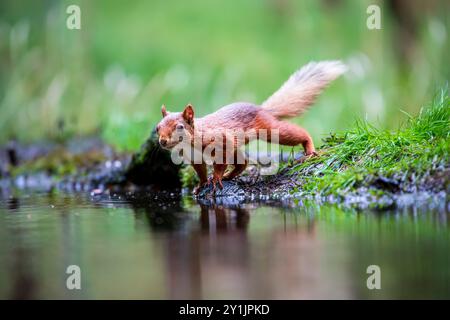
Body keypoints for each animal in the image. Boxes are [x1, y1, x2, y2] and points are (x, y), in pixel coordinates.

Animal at [156, 61, 346, 194]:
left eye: (180, 126)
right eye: (157, 127)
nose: (162, 141)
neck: (193, 141)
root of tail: (262, 109)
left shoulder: (221, 141)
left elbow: (219, 165)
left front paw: (216, 178)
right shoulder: (194, 157)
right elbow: (201, 171)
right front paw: (201, 185)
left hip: (270, 130)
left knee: (296, 134)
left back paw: (310, 150)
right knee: (243, 162)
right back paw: (230, 176)